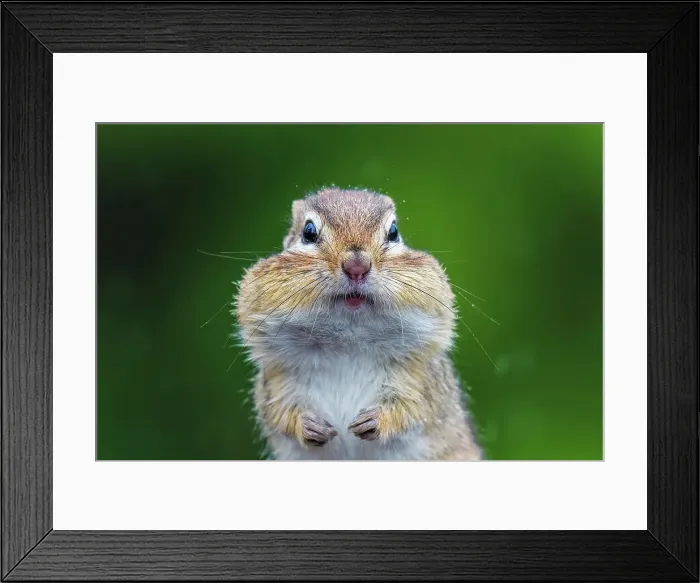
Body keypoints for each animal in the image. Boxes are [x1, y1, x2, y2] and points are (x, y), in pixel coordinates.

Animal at [234, 187, 483, 460]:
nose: (357, 266)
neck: (347, 341)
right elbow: (279, 414)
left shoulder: (420, 379)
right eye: (308, 232)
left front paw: (377, 421)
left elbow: (414, 408)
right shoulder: (275, 383)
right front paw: (307, 426)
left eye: (393, 232)